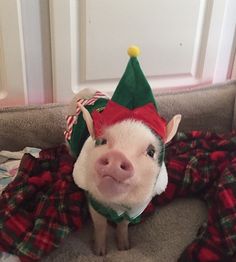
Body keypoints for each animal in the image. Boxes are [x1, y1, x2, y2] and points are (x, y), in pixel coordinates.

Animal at [72, 99, 181, 255]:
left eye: (151, 151)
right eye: (103, 141)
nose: (117, 155)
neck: (116, 204)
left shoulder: (135, 210)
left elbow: (123, 225)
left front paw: (124, 248)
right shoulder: (93, 201)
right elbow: (100, 225)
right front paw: (99, 253)